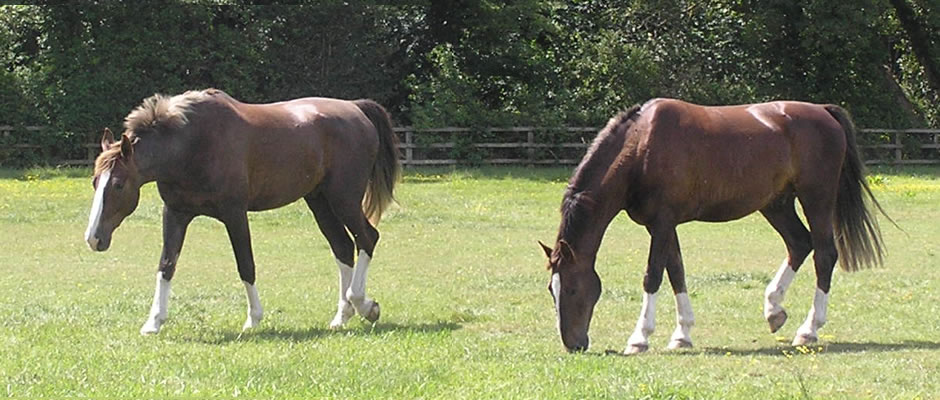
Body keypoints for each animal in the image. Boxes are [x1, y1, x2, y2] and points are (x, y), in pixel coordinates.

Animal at [83, 88, 400, 334]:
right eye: (95, 181)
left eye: (119, 184)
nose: (94, 238)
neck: (192, 143)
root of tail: (356, 109)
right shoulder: (175, 213)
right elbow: (166, 265)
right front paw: (154, 322)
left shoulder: (234, 214)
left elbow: (246, 265)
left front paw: (253, 319)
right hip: (319, 201)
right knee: (343, 248)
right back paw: (342, 317)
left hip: (344, 199)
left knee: (367, 238)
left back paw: (365, 305)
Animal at [540, 97, 884, 354]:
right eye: (551, 290)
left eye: (571, 288)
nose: (573, 344)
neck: (640, 146)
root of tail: (823, 111)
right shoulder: (663, 225)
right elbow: (676, 273)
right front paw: (682, 335)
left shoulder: (662, 223)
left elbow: (653, 276)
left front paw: (640, 338)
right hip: (776, 204)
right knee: (799, 244)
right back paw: (774, 309)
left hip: (816, 198)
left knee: (824, 254)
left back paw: (809, 330)